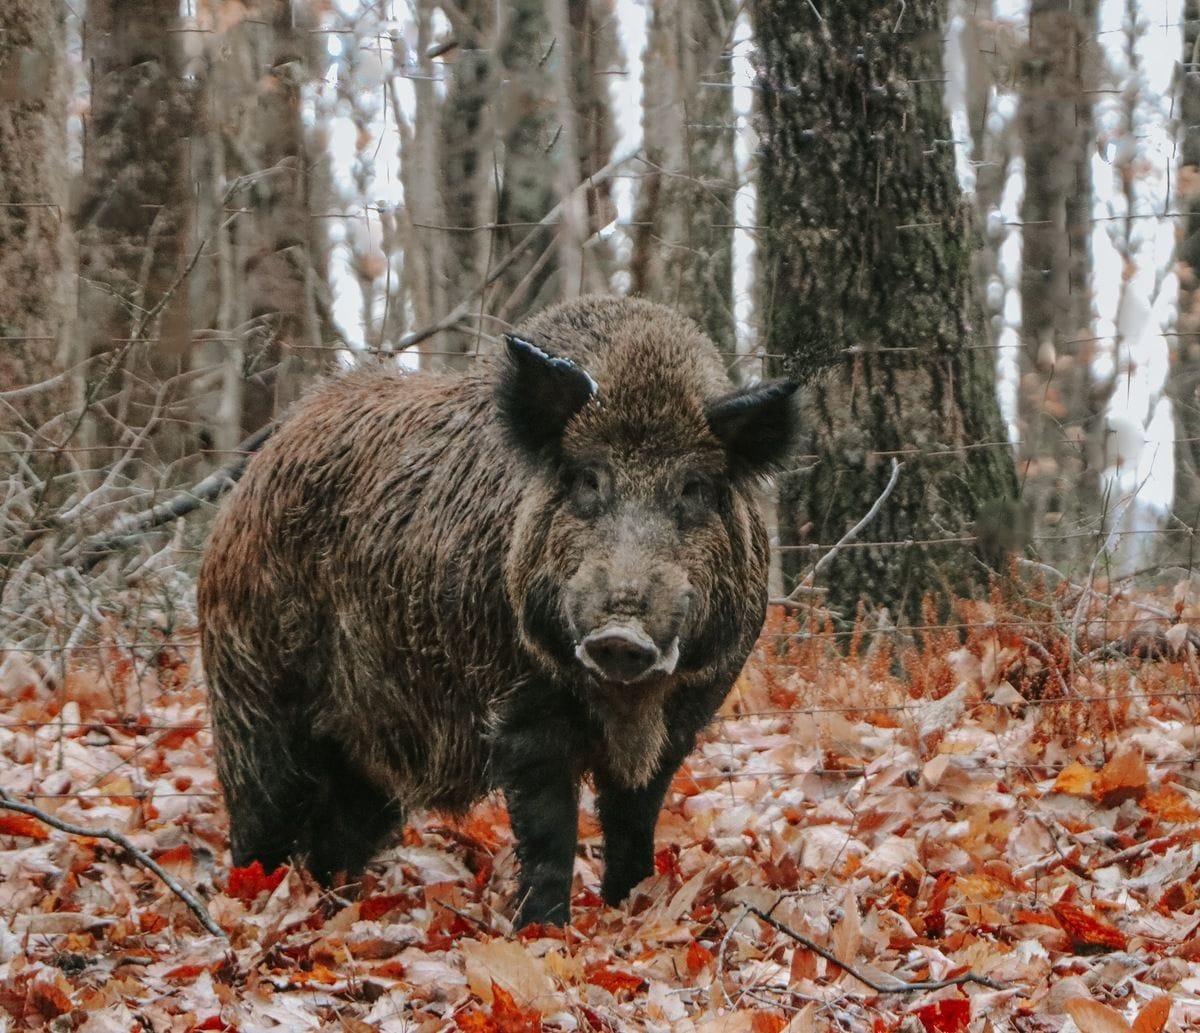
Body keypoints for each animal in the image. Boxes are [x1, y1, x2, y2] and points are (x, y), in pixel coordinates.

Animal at [198, 295, 798, 925]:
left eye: (694, 488)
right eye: (586, 480)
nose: (620, 633)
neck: (626, 703)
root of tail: (256, 468)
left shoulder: (688, 714)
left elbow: (634, 822)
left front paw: (630, 910)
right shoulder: (518, 708)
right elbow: (549, 832)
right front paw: (543, 930)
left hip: (368, 749)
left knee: (337, 835)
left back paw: (333, 905)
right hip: (253, 695)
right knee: (258, 819)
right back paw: (251, 904)